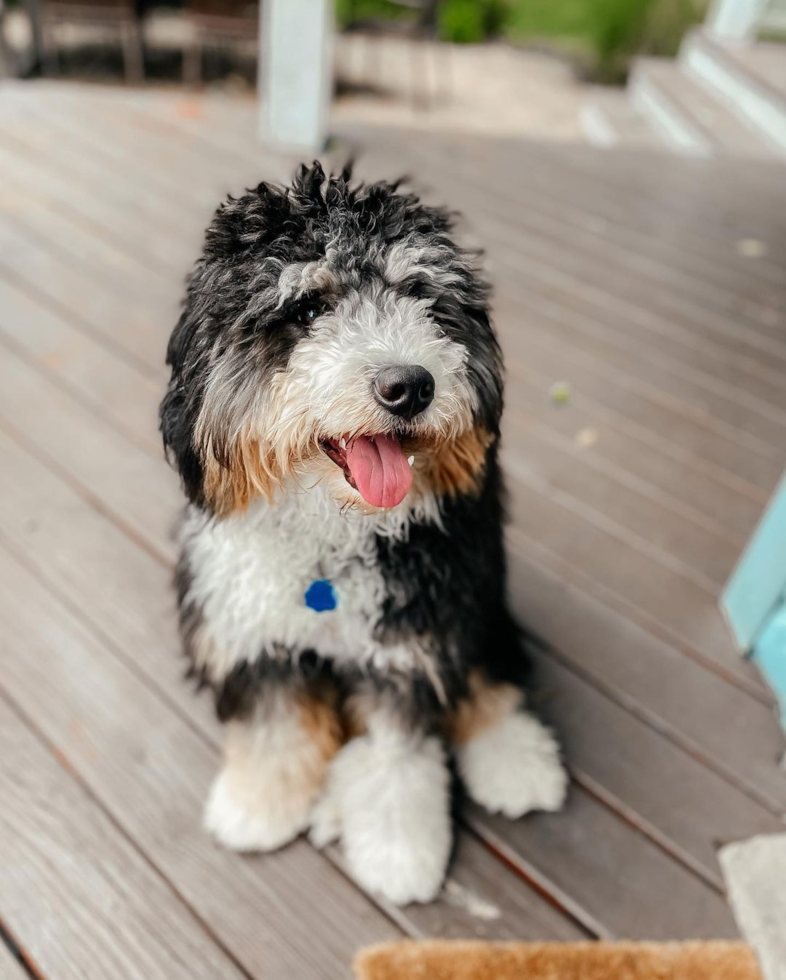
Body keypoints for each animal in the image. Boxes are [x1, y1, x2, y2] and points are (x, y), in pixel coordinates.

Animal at [161, 161, 564, 904]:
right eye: (306, 309)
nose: (411, 385)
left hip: (477, 599)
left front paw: (398, 856)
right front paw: (259, 807)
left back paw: (517, 762)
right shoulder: (254, 637)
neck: (332, 537)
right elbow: (274, 731)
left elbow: (395, 762)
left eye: (420, 295)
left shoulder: (410, 642)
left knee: (490, 676)